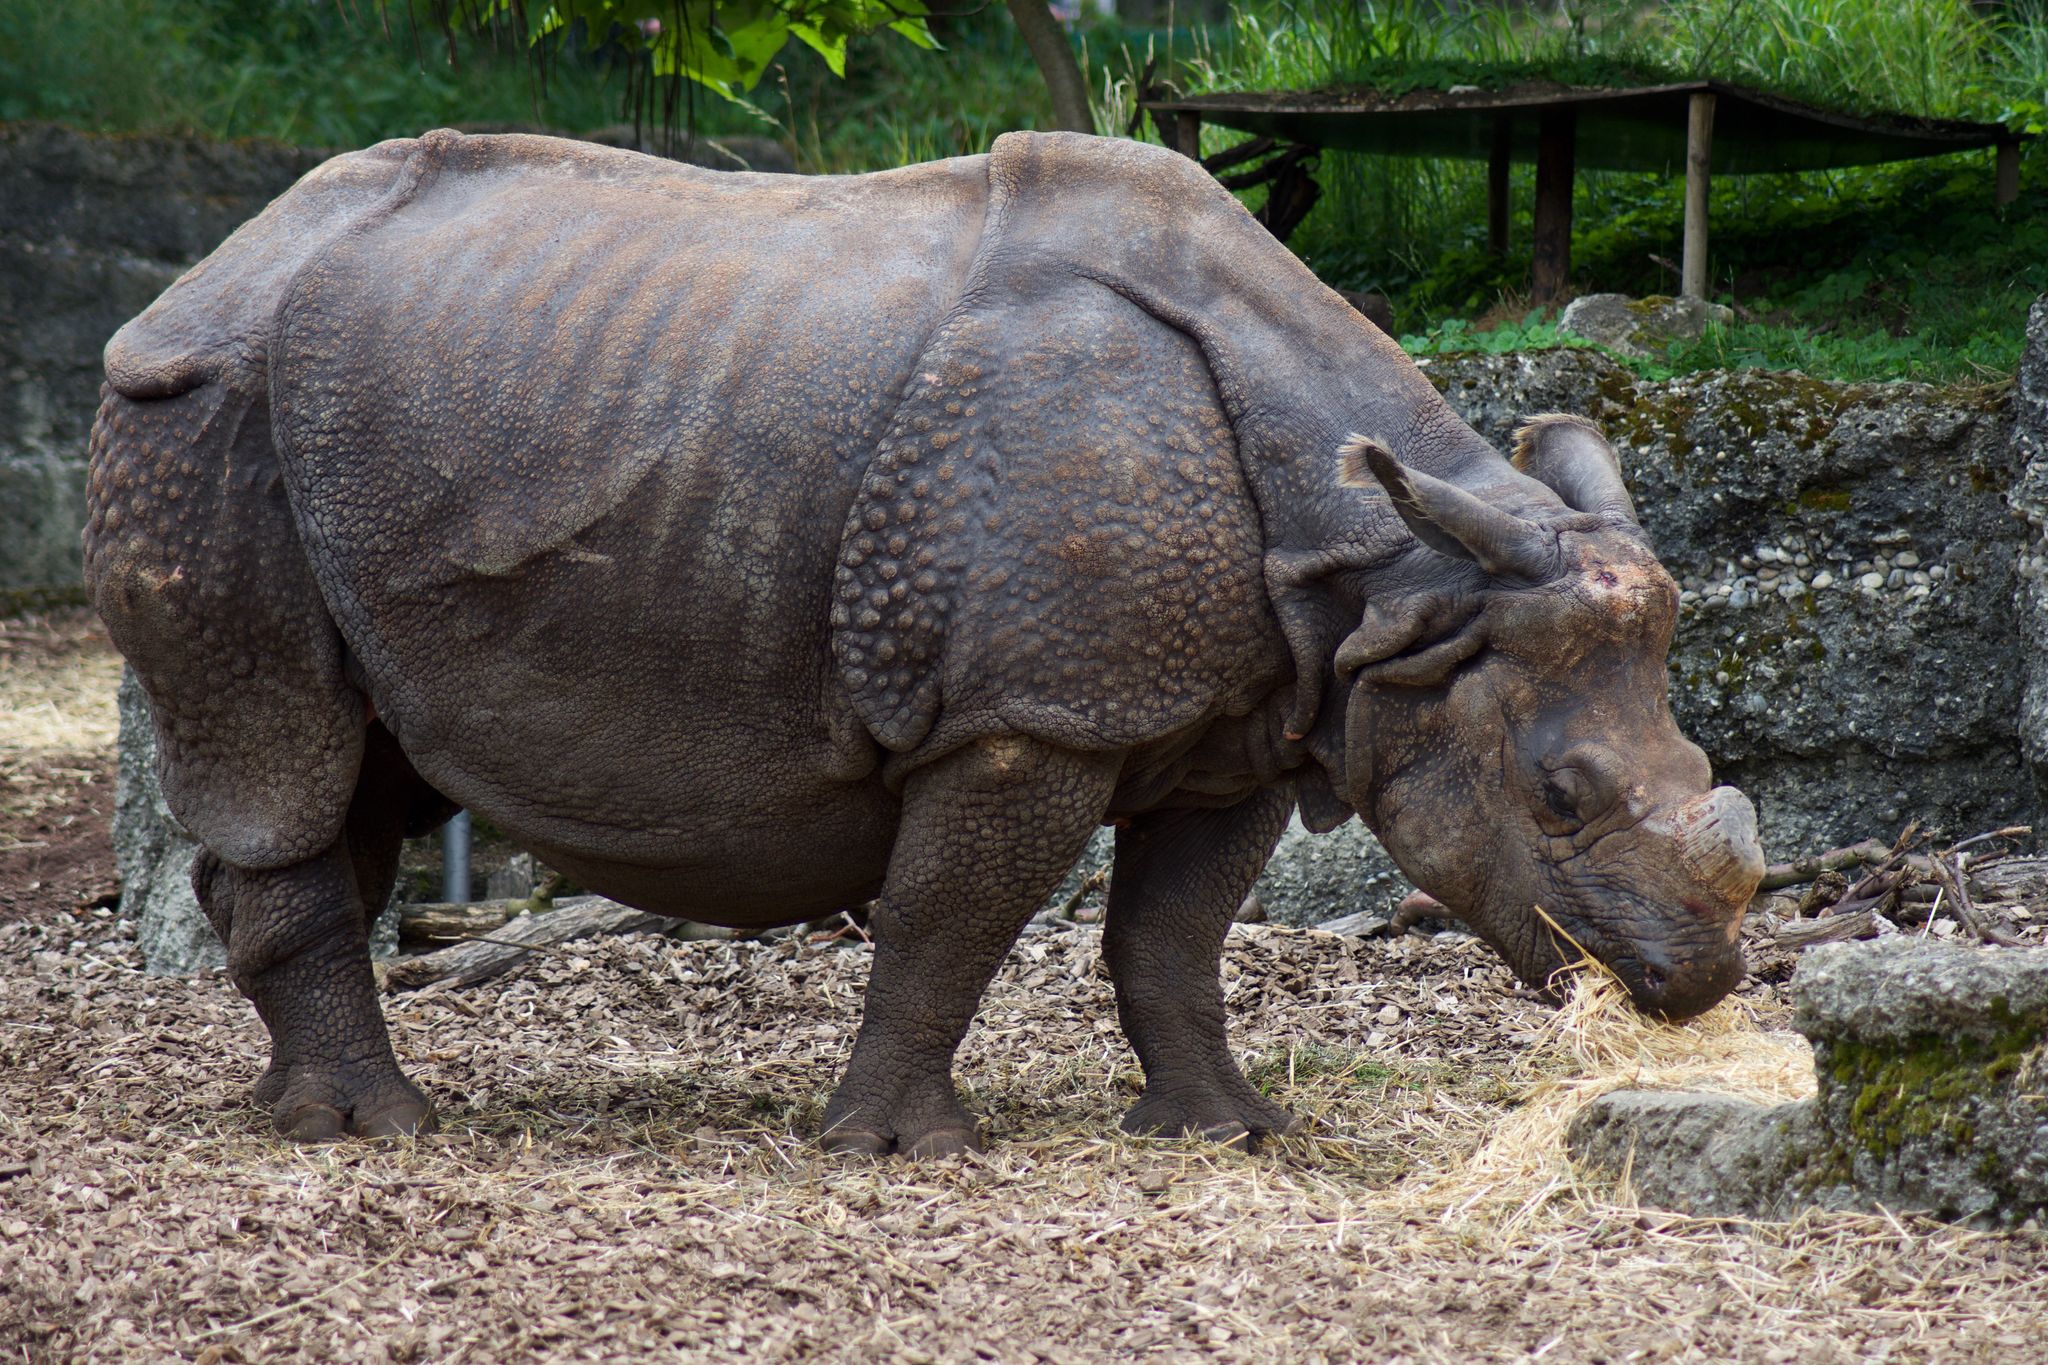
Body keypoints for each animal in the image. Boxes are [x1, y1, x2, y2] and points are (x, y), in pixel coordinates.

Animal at [86, 129, 1764, 1155]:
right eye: (1559, 794)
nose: (1690, 986)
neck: (1393, 571)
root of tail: (201, 273)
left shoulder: (1243, 711)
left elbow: (1174, 930)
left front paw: (1226, 1131)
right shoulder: (1024, 711)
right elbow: (951, 917)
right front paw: (902, 1148)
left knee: (356, 769)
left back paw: (292, 1107)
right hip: (204, 414)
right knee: (282, 751)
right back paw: (376, 1127)